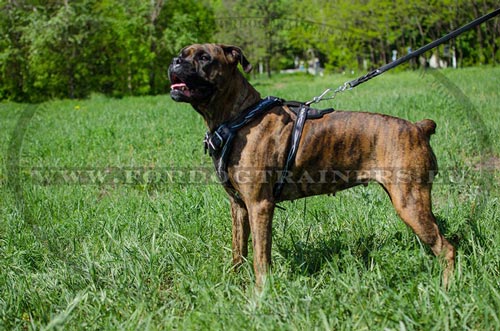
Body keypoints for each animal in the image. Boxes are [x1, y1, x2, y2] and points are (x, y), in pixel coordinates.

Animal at [166, 43, 456, 288]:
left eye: (204, 57)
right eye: (181, 53)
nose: (174, 61)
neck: (239, 118)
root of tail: (418, 127)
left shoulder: (259, 205)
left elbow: (261, 256)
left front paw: (261, 295)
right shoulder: (239, 206)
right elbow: (240, 250)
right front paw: (234, 283)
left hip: (410, 202)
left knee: (447, 248)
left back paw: (446, 289)